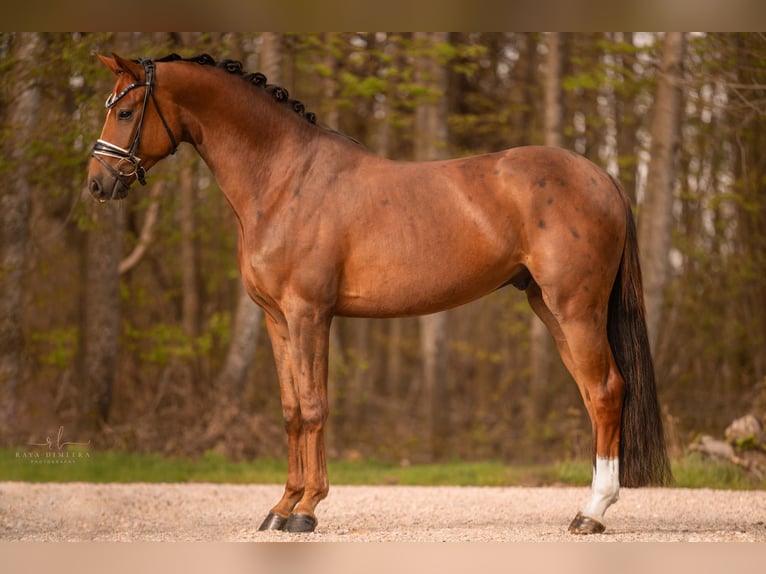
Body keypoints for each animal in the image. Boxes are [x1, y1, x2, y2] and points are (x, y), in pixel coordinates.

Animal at [88, 53, 672, 536]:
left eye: (126, 111)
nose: (97, 183)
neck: (284, 178)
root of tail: (603, 177)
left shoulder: (310, 314)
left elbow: (314, 407)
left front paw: (306, 511)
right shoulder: (277, 319)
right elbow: (291, 410)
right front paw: (281, 507)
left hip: (577, 309)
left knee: (606, 391)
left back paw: (592, 513)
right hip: (549, 308)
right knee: (593, 395)